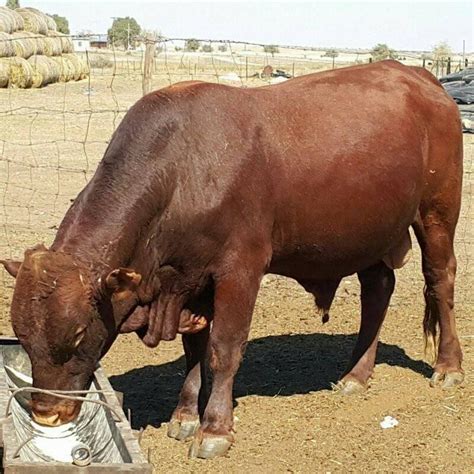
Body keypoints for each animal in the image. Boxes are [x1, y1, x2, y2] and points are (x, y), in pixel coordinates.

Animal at [1, 60, 464, 460]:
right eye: (22, 335)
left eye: (79, 334)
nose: (46, 413)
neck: (183, 169)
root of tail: (420, 76)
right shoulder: (186, 278)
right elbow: (194, 349)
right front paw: (185, 416)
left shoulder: (240, 269)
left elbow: (224, 348)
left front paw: (214, 429)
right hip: (370, 233)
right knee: (378, 290)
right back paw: (356, 375)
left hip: (437, 214)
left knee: (440, 280)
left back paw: (448, 367)